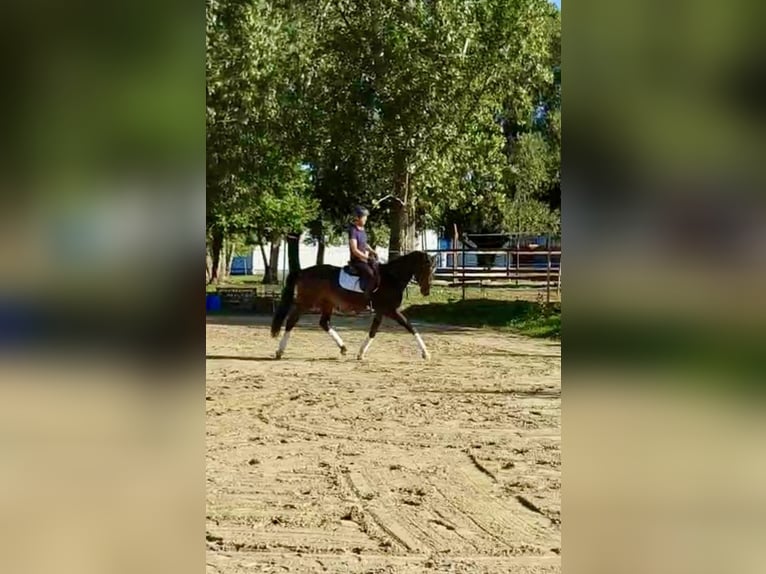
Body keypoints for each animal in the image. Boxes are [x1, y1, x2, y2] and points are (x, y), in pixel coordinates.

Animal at [270, 250, 438, 360]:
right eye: (426, 268)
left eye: (433, 269)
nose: (426, 291)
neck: (392, 278)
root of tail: (303, 271)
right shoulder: (391, 310)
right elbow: (409, 326)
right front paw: (426, 353)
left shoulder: (381, 311)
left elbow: (373, 331)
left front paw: (361, 353)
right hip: (306, 302)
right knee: (291, 321)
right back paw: (279, 351)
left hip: (327, 303)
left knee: (324, 323)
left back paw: (343, 348)